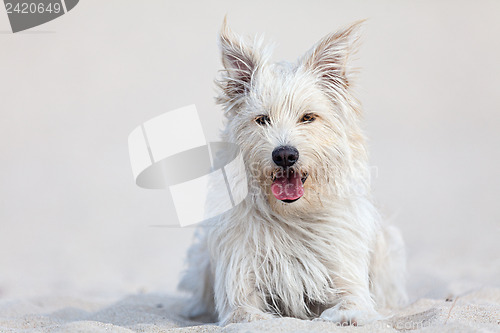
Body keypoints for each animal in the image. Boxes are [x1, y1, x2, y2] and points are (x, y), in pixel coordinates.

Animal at [179, 18, 406, 324]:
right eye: (262, 120)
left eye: (308, 117)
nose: (285, 154)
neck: (292, 216)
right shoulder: (239, 290)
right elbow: (248, 314)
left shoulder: (348, 280)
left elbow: (351, 305)